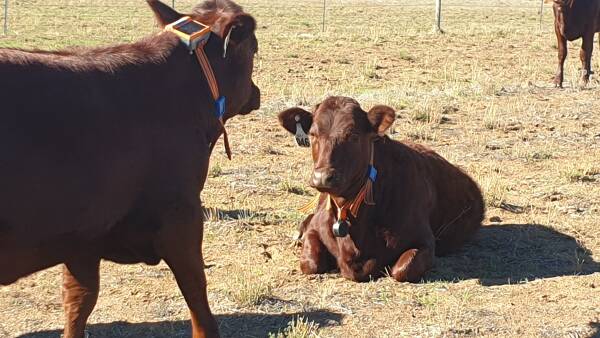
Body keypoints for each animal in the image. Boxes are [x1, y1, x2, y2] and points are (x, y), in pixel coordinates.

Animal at [0, 0, 258, 338]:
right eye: (254, 49)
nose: (255, 92)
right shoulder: (182, 214)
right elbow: (196, 291)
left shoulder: (84, 234)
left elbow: (79, 300)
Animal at [278, 97, 486, 282]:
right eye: (313, 134)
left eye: (353, 135)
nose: (322, 177)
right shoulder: (316, 228)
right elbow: (310, 264)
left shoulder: (425, 241)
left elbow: (402, 270)